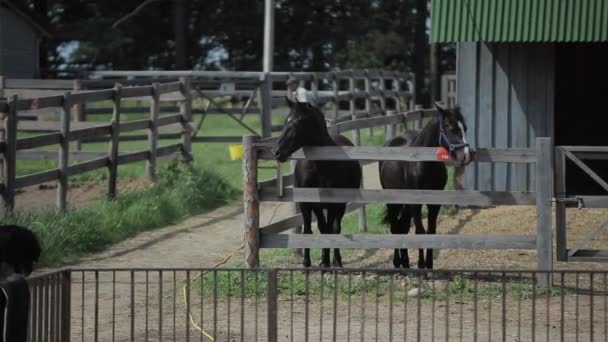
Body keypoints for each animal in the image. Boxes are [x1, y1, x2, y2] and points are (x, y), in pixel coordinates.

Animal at [274, 99, 360, 268]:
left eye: (298, 122)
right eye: (286, 121)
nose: (277, 152)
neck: (320, 166)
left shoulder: (333, 204)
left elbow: (329, 229)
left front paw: (326, 262)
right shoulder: (308, 204)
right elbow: (312, 230)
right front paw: (309, 262)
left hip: (340, 205)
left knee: (335, 228)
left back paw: (336, 260)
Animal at [378, 104, 472, 270]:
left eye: (464, 128)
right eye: (450, 127)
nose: (466, 156)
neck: (424, 164)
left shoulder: (434, 203)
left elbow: (431, 231)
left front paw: (429, 265)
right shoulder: (416, 203)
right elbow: (420, 231)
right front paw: (422, 265)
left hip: (405, 203)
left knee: (403, 226)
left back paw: (405, 263)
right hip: (393, 201)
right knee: (395, 227)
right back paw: (397, 262)